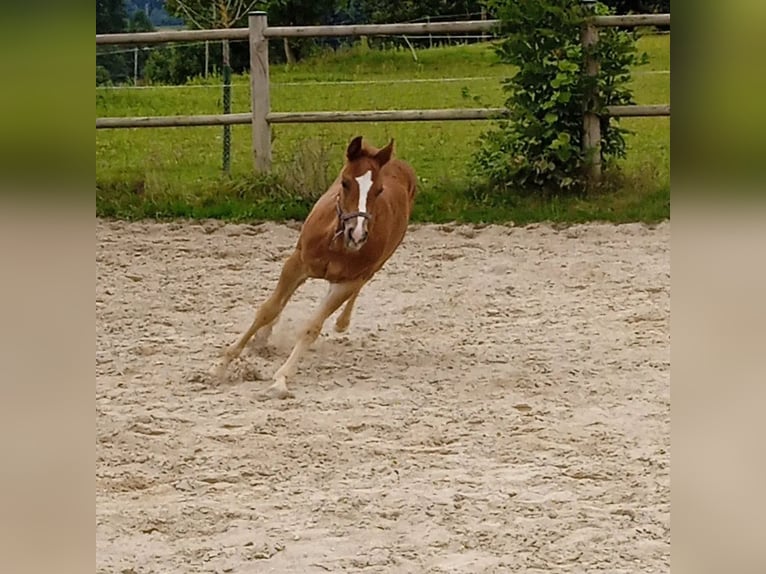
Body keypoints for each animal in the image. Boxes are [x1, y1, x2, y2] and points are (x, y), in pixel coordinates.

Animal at [216, 136, 420, 400]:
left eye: (379, 190)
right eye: (345, 183)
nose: (357, 234)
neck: (336, 241)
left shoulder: (347, 282)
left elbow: (312, 327)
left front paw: (281, 379)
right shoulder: (297, 264)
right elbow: (268, 310)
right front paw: (221, 365)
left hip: (374, 266)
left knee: (360, 286)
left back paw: (342, 322)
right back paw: (262, 336)